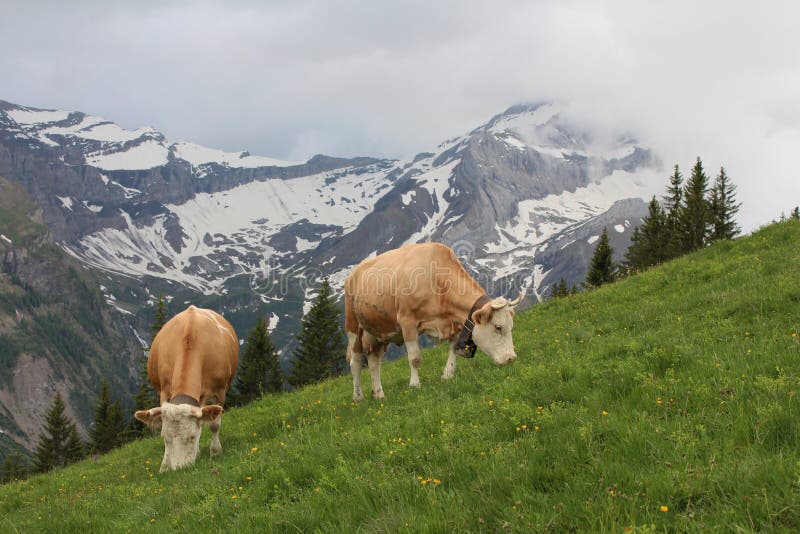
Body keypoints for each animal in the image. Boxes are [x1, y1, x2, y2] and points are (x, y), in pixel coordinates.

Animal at [134, 305, 238, 472]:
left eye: (192, 436)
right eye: (165, 437)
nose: (180, 469)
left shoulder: (220, 391)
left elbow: (214, 425)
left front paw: (215, 451)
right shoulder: (164, 392)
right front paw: (165, 465)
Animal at [344, 242, 521, 401]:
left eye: (511, 327)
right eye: (498, 327)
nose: (511, 358)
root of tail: (354, 273)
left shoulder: (453, 324)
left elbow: (452, 349)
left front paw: (447, 375)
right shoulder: (407, 322)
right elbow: (415, 358)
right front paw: (414, 385)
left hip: (377, 332)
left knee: (374, 362)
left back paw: (379, 394)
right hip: (353, 326)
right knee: (355, 362)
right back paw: (358, 396)